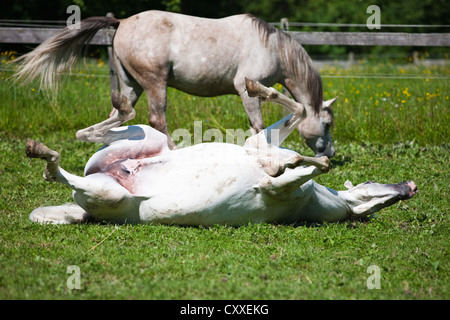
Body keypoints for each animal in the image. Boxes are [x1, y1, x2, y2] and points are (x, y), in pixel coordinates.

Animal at [15, 11, 336, 157]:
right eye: (328, 124)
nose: (331, 154)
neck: (272, 46)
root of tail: (121, 22)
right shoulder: (247, 90)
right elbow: (261, 123)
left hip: (132, 87)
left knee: (116, 116)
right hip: (155, 83)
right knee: (156, 119)